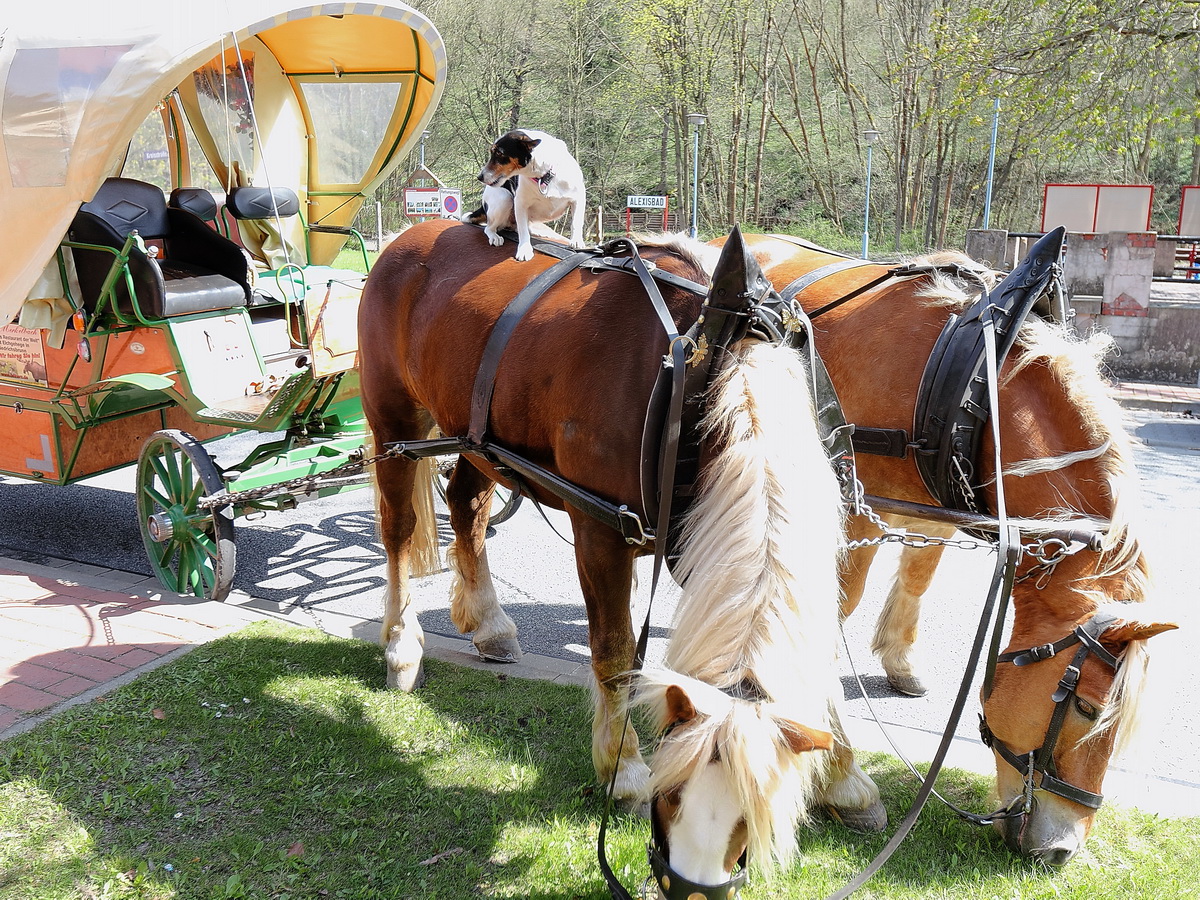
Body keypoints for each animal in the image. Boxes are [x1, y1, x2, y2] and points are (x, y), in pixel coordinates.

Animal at [360, 218, 849, 888]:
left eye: (751, 821)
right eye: (670, 796)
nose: (689, 888)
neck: (703, 368)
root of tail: (408, 236)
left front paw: (850, 781)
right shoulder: (600, 529)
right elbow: (616, 652)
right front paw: (624, 767)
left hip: (477, 437)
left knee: (466, 506)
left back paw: (488, 624)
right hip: (394, 426)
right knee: (400, 530)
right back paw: (401, 644)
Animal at [460, 127, 588, 260]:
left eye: (499, 153)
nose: (479, 177)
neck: (544, 176)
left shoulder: (578, 199)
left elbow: (576, 222)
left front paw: (577, 241)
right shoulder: (520, 205)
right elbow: (522, 230)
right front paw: (524, 249)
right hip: (504, 199)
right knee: (489, 228)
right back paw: (495, 236)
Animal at [739, 234, 1180, 868]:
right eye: (1089, 709)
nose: (1062, 851)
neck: (978, 382)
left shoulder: (937, 512)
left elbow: (919, 576)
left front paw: (899, 661)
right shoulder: (851, 511)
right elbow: (827, 615)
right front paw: (840, 778)